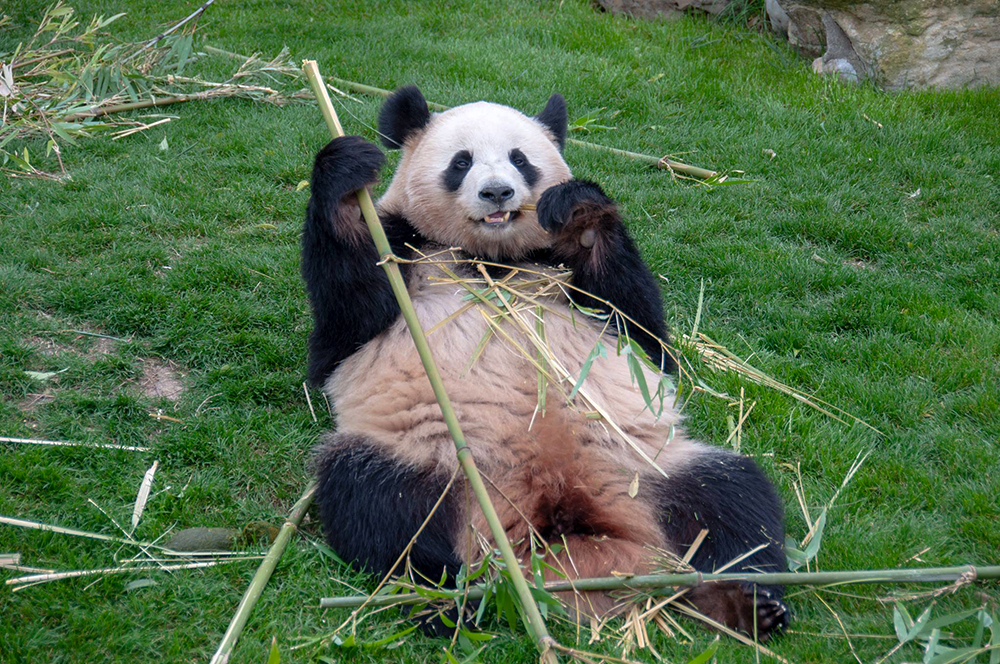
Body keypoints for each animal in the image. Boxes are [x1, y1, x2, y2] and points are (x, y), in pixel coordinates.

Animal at [304, 84, 788, 640]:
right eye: (461, 162)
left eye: (521, 159)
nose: (497, 193)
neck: (491, 260)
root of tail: (552, 531)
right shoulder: (405, 247)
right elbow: (346, 324)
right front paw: (347, 175)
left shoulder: (563, 271)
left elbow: (644, 333)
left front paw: (580, 214)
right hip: (436, 463)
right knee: (381, 506)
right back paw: (449, 601)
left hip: (647, 468)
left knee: (732, 500)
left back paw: (745, 601)